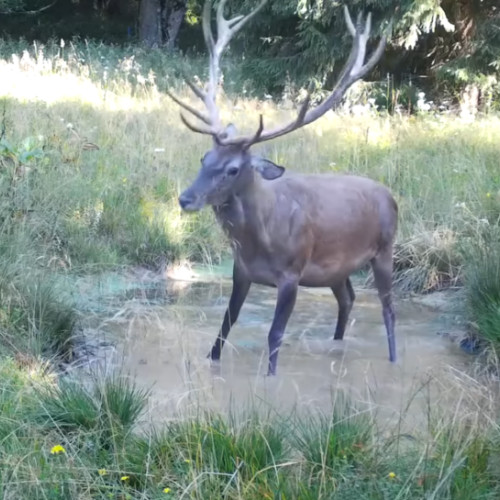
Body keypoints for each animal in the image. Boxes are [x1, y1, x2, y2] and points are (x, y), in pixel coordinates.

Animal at [170, 0, 396, 376]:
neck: (260, 239)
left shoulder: (291, 272)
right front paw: (212, 362)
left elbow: (275, 334)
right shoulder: (241, 270)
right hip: (337, 269)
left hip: (384, 250)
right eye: (204, 156)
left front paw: (270, 377)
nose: (185, 198)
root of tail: (391, 196)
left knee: (388, 310)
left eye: (233, 169)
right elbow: (225, 326)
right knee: (348, 299)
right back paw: (337, 345)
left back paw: (394, 358)